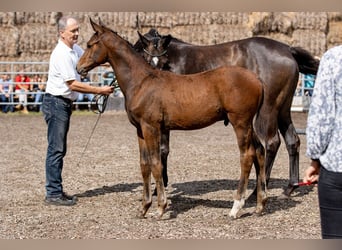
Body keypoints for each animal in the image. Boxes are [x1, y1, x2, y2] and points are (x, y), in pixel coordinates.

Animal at [77, 19, 268, 219]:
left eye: (90, 45)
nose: (79, 68)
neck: (142, 81)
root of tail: (257, 79)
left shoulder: (151, 127)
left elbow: (156, 164)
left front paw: (160, 208)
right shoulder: (140, 130)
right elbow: (144, 165)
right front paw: (144, 208)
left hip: (240, 123)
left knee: (247, 156)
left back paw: (236, 207)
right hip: (249, 125)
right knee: (260, 152)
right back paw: (259, 205)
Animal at [134, 28, 320, 195]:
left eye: (164, 61)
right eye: (148, 60)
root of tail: (287, 49)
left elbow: (163, 149)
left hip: (268, 110)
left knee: (272, 143)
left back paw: (257, 191)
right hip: (283, 110)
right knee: (292, 141)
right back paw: (290, 187)